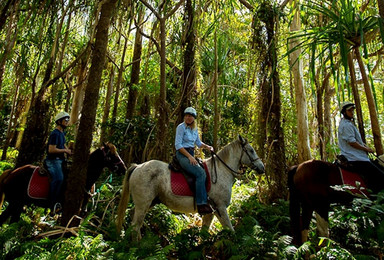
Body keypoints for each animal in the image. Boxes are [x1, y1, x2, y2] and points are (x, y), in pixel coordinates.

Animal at [115, 136, 264, 240]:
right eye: (251, 150)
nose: (262, 167)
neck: (222, 171)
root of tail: (138, 167)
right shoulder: (220, 208)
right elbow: (230, 230)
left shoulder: (210, 212)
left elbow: (204, 232)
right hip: (143, 203)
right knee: (136, 225)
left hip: (149, 203)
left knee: (134, 220)